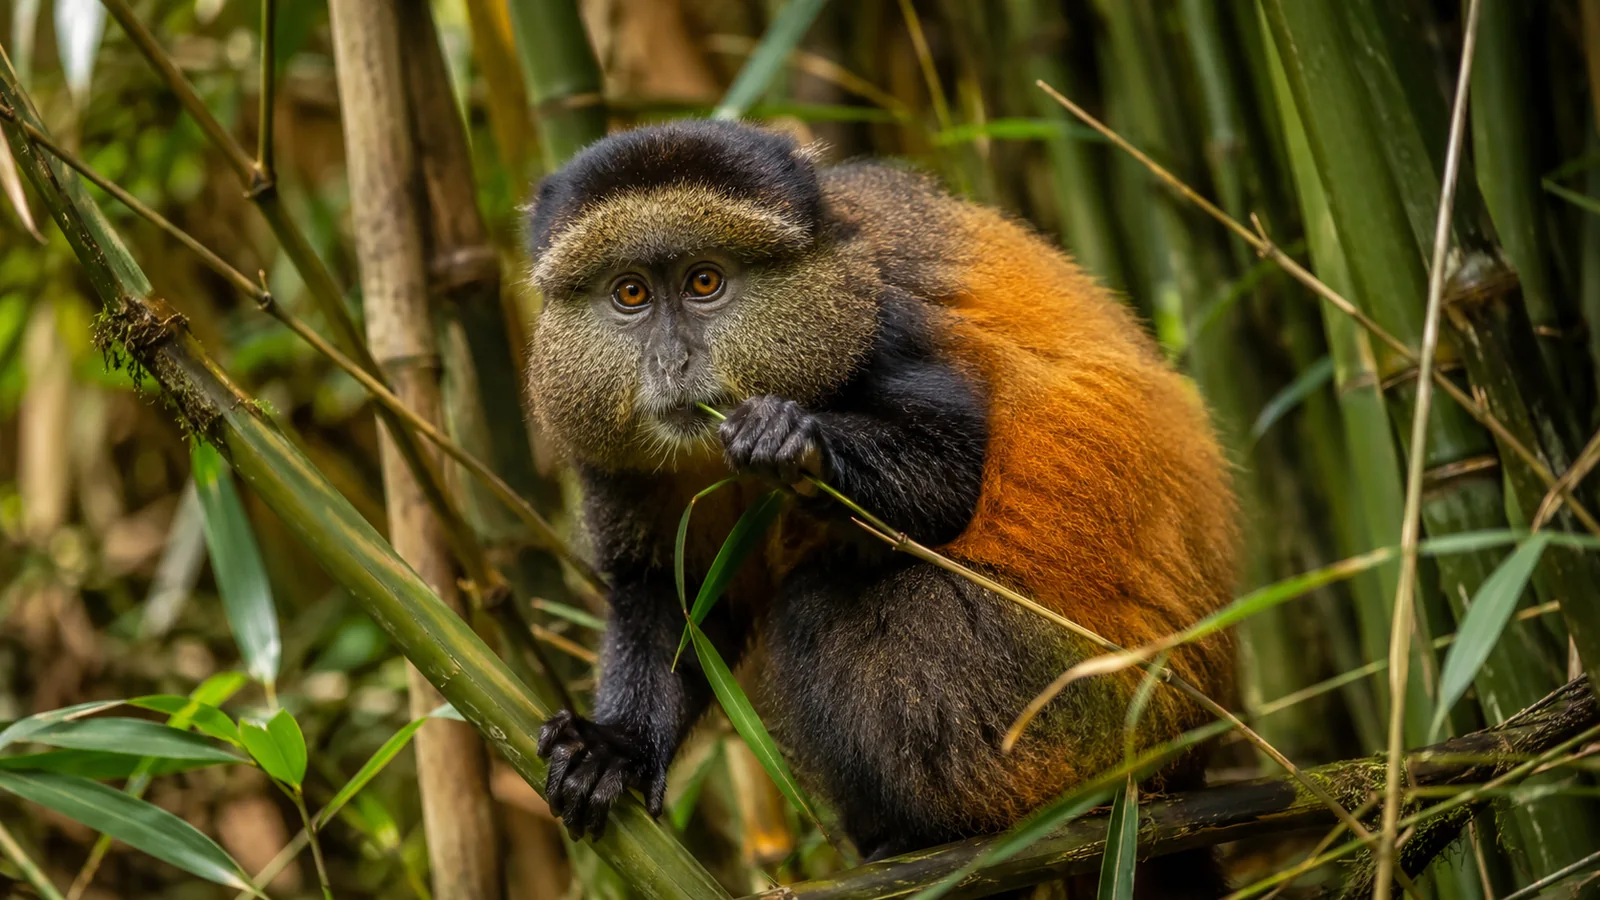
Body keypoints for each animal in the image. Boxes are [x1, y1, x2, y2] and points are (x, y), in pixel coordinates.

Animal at [523, 119, 1239, 897]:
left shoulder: (881, 322)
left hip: (1064, 711)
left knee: (820, 607)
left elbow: (953, 473)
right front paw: (614, 748)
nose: (672, 362)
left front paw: (796, 441)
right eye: (630, 293)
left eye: (704, 281)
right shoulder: (614, 454)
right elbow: (671, 593)